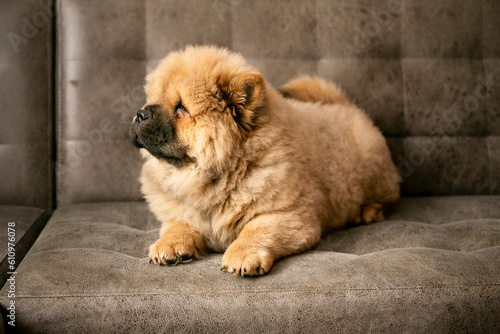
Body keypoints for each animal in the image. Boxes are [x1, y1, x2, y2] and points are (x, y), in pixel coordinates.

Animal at [128, 45, 398, 276]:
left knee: (387, 197)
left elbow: (256, 230)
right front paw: (169, 246)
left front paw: (242, 255)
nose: (140, 113)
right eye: (154, 99)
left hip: (374, 172)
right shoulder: (182, 210)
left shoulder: (289, 216)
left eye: (181, 108)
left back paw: (367, 212)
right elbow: (177, 224)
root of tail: (348, 106)